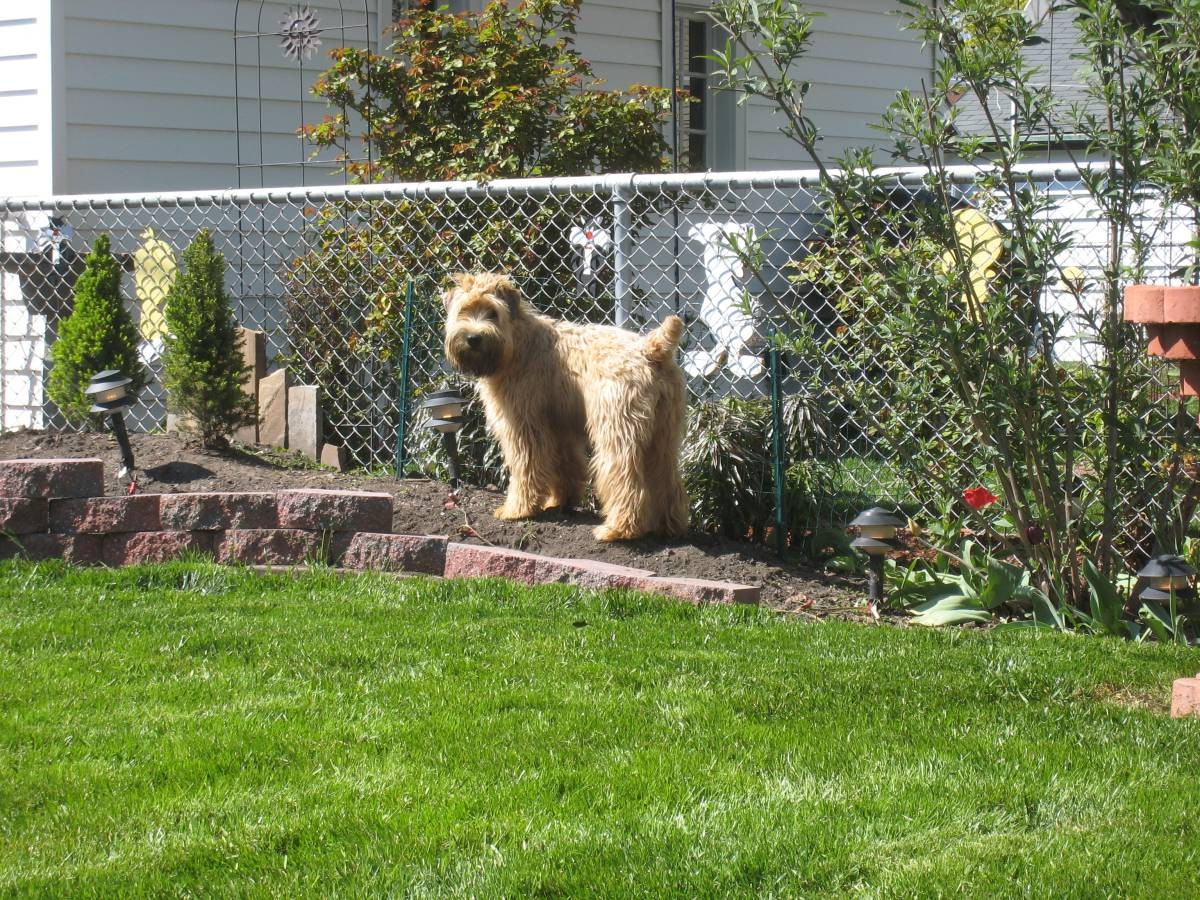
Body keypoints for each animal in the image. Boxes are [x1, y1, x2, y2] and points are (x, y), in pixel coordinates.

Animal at [444, 273, 691, 542]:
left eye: (492, 312)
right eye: (463, 310)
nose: (473, 339)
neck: (517, 343)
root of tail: (651, 348)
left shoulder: (522, 425)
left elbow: (526, 467)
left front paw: (517, 510)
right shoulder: (559, 428)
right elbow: (565, 466)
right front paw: (561, 501)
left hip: (616, 431)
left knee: (625, 480)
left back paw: (618, 529)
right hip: (663, 434)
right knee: (667, 478)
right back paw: (670, 526)